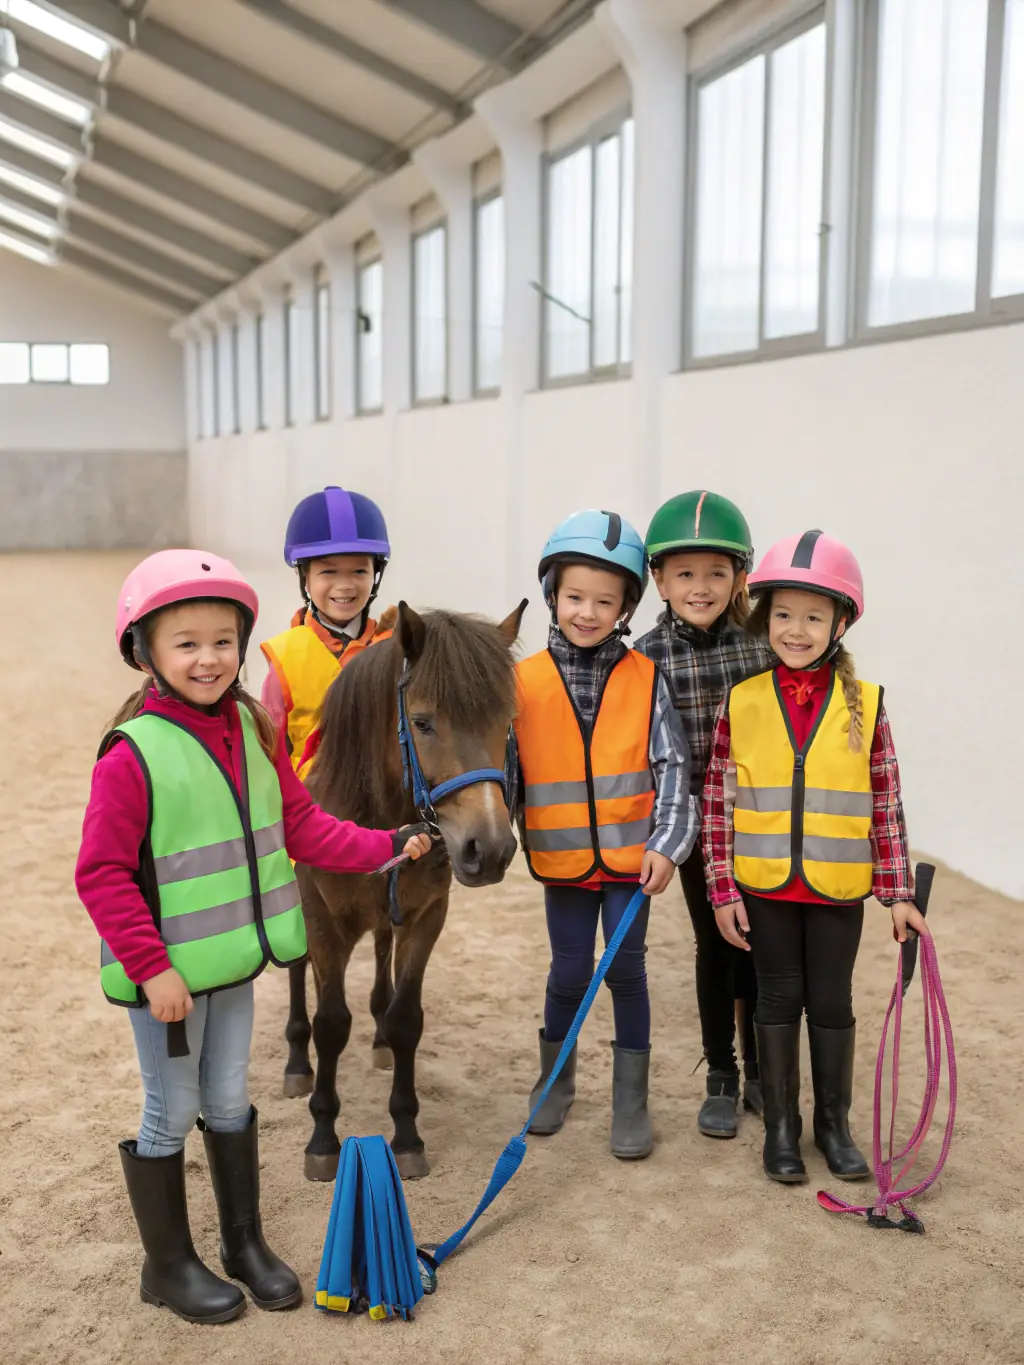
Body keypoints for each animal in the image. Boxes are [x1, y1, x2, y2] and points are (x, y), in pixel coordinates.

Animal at [285, 599, 527, 1182]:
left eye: (506, 722)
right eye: (423, 723)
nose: (489, 848)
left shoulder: (426, 916)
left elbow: (405, 1019)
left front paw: (407, 1132)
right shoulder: (322, 921)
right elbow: (330, 1023)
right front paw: (323, 1137)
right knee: (300, 975)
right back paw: (297, 1063)